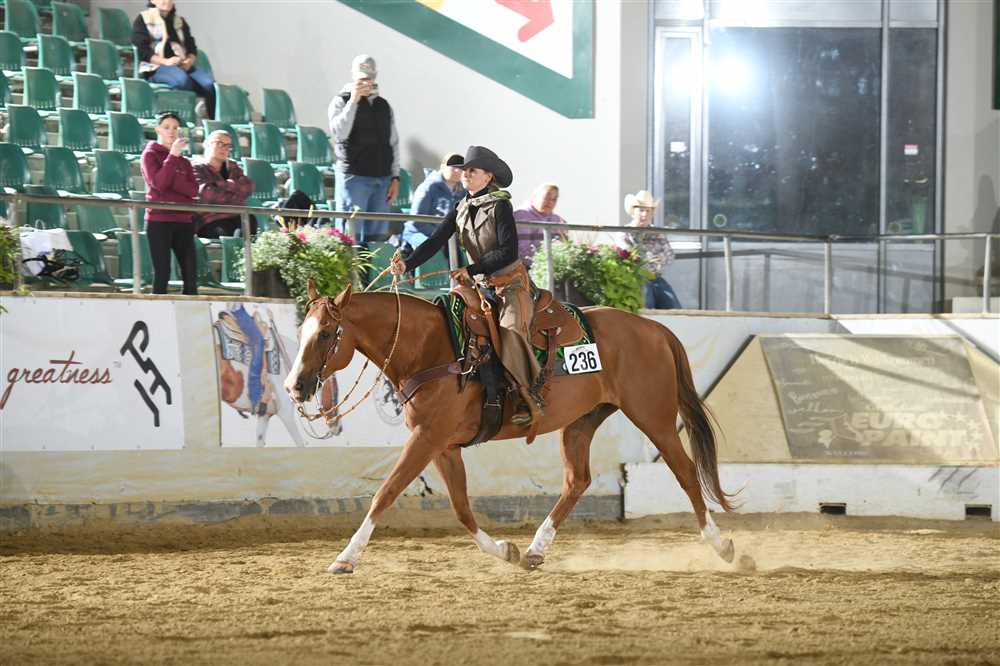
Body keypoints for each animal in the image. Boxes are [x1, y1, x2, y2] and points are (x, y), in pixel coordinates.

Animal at [285, 280, 737, 573]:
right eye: (302, 330)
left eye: (326, 333)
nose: (295, 386)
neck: (434, 348)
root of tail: (653, 328)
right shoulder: (443, 445)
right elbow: (462, 508)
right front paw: (506, 551)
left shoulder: (427, 438)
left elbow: (386, 492)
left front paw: (346, 557)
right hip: (582, 422)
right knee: (577, 481)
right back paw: (535, 550)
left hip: (654, 417)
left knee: (686, 473)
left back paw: (723, 546)